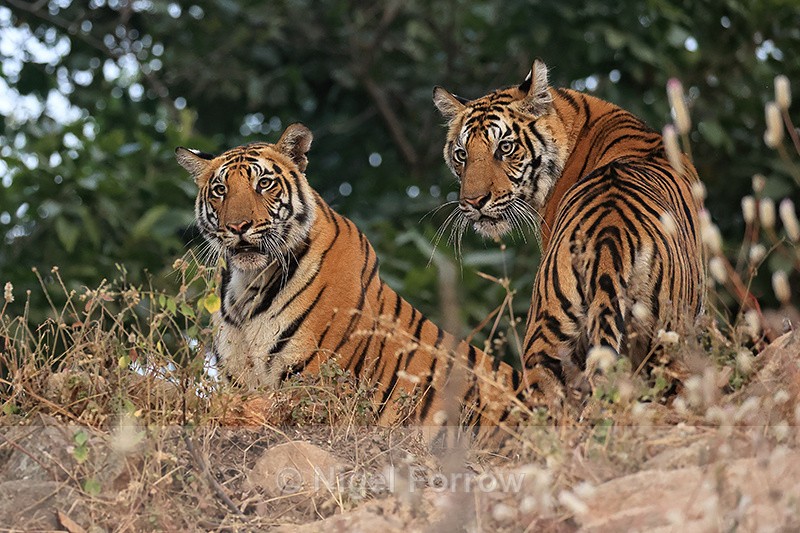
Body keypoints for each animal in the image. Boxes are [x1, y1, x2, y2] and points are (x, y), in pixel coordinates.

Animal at [175, 123, 525, 430]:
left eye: (263, 184)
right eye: (220, 190)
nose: (238, 226)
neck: (248, 284)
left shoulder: (317, 385)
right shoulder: (238, 380)